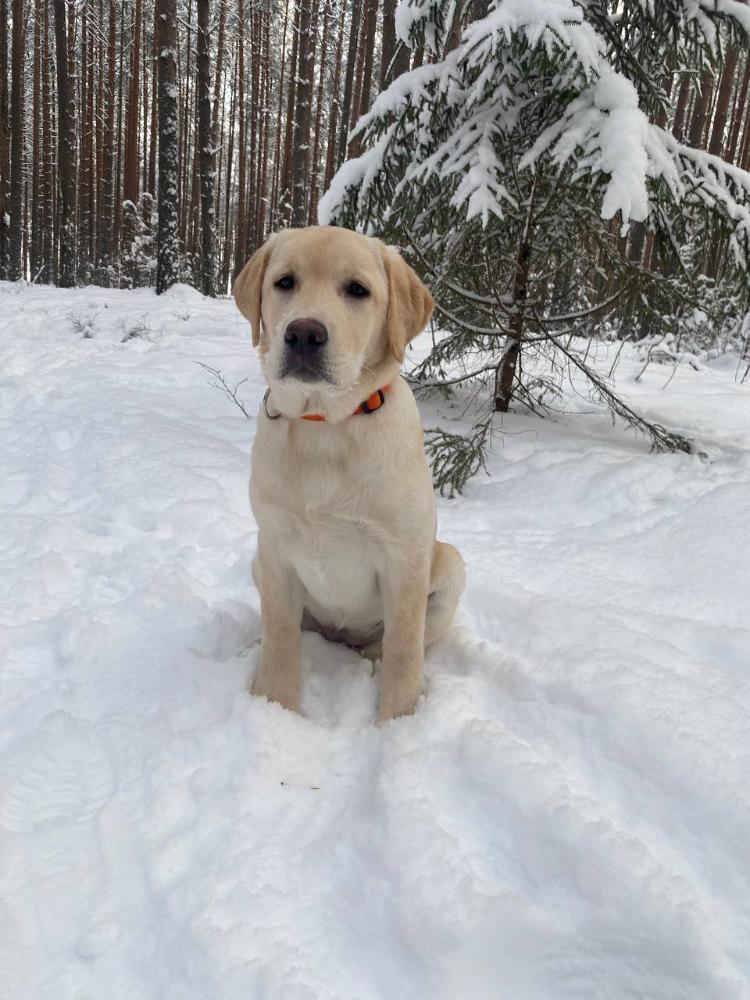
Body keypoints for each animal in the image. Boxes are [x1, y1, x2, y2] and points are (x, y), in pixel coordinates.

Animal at [234, 226, 465, 721]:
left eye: (358, 290)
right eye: (285, 282)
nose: (303, 333)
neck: (325, 425)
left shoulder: (404, 557)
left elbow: (404, 646)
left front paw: (398, 721)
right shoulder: (275, 547)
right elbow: (280, 634)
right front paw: (273, 703)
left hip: (451, 565)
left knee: (396, 644)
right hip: (258, 562)